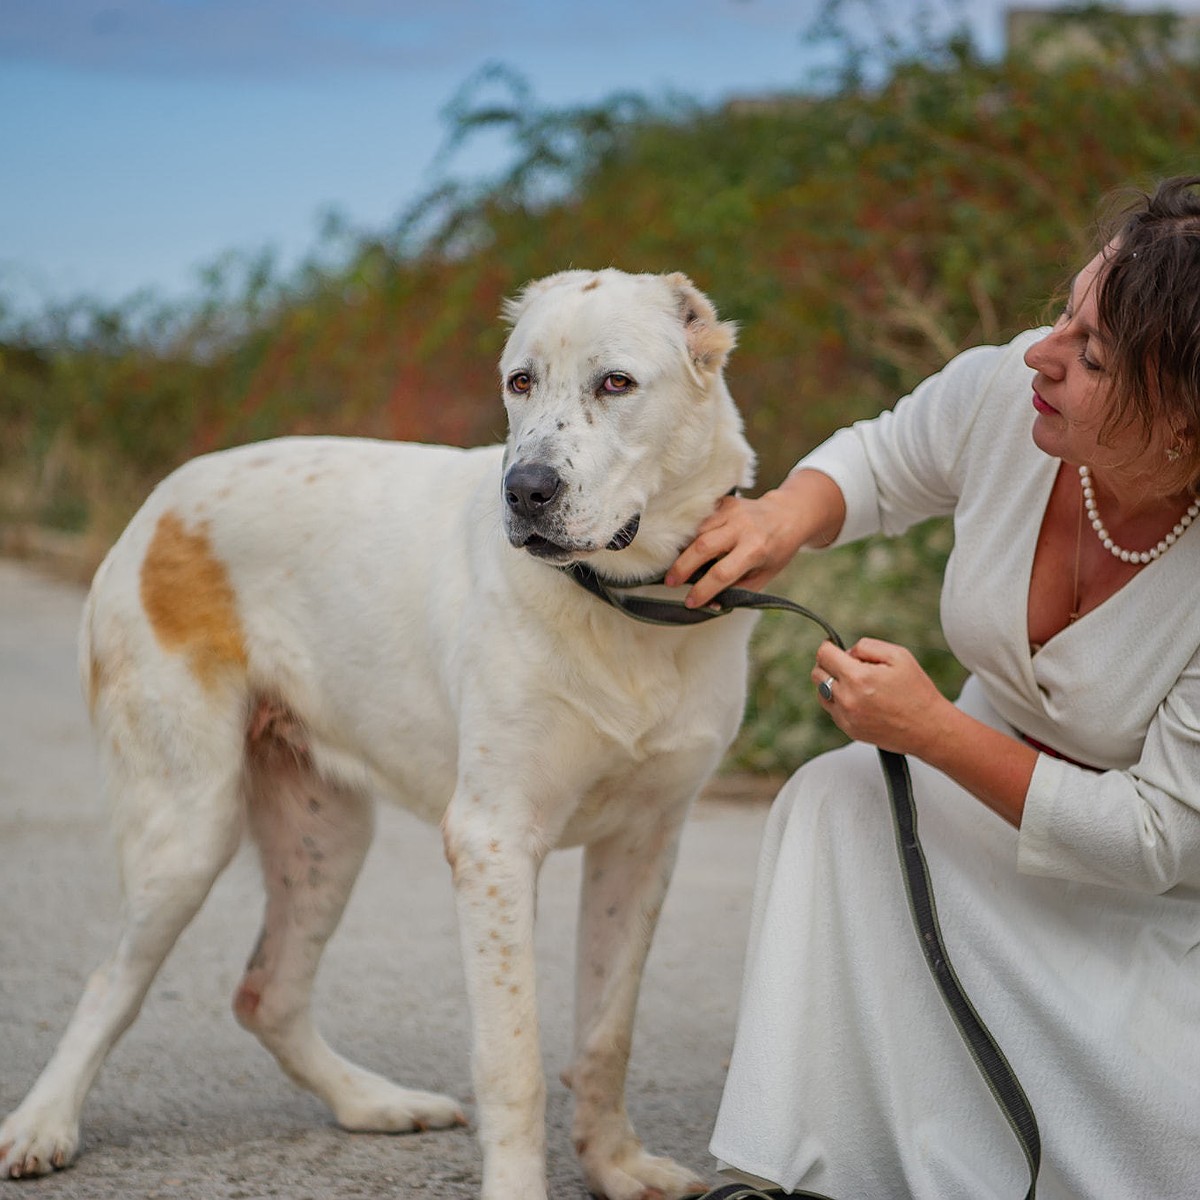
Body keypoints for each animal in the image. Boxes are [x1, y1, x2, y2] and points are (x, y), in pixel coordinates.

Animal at [0, 272, 758, 1200]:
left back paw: (374, 1104)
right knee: (113, 979)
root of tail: (156, 508)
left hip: (327, 833)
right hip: (187, 829)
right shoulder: (493, 842)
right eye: (520, 383)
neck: (623, 606)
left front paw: (615, 1166)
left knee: (268, 993)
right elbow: (514, 1057)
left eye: (616, 383)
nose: (525, 490)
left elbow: (605, 1035)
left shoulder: (645, 844)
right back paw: (44, 1123)